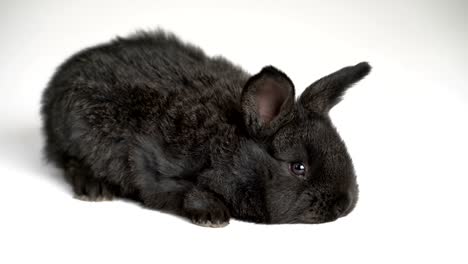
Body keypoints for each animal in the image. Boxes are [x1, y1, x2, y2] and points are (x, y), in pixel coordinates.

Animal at [41, 30, 370, 227]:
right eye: (298, 167)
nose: (344, 205)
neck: (229, 145)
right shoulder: (154, 168)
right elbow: (188, 191)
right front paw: (213, 216)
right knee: (70, 161)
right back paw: (95, 189)